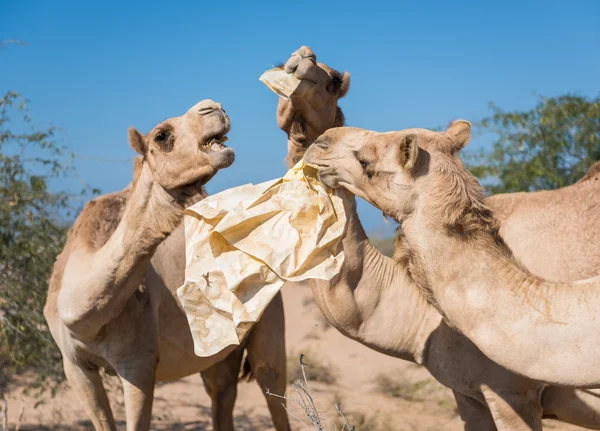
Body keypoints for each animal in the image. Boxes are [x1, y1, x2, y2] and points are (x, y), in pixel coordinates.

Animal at [43, 101, 290, 431]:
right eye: (161, 136)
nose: (214, 107)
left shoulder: (138, 362)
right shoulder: (74, 366)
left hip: (271, 313)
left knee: (272, 382)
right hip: (221, 354)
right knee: (222, 390)